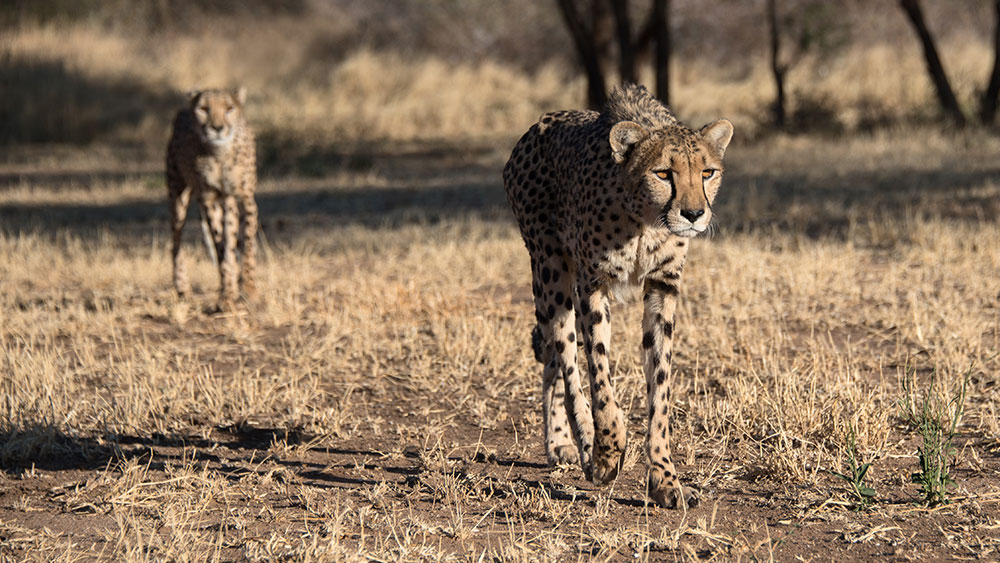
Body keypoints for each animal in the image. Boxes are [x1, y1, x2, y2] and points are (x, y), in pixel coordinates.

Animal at [166, 86, 258, 310]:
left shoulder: (244, 198)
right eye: (204, 109)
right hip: (178, 198)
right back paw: (182, 286)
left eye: (229, 108)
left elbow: (247, 244)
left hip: (227, 202)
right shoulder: (208, 199)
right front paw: (227, 294)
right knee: (176, 241)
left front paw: (249, 289)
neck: (220, 154)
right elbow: (221, 246)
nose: (217, 128)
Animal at [508, 83, 736, 512]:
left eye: (707, 172)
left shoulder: (663, 287)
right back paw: (583, 445)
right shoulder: (592, 283)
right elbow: (599, 378)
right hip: (552, 271)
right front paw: (607, 452)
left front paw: (665, 479)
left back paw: (559, 442)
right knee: (566, 359)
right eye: (663, 173)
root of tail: (539, 124)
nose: (694, 214)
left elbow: (660, 389)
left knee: (553, 361)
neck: (646, 220)